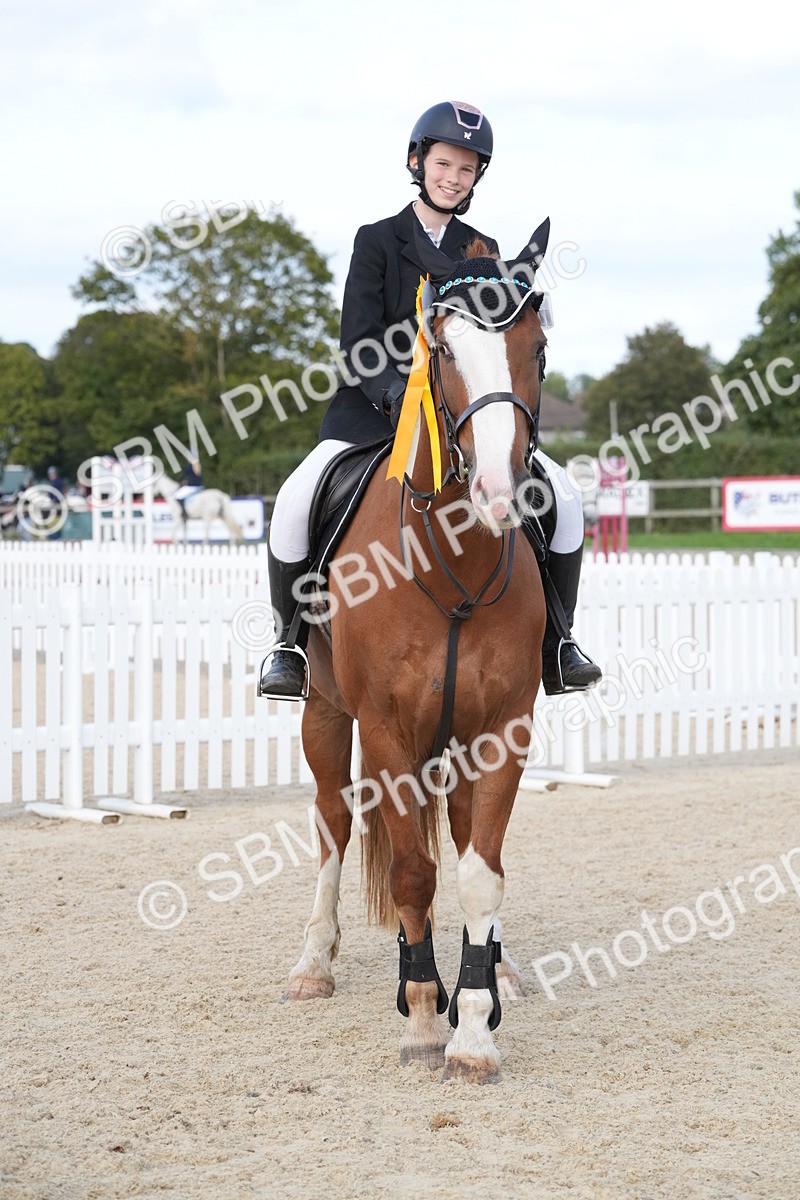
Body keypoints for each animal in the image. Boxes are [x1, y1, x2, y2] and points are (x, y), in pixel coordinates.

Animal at [282, 227, 552, 1084]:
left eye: (538, 347)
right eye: (444, 348)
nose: (503, 492)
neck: (451, 560)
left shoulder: (501, 729)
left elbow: (477, 873)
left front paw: (474, 1028)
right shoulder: (385, 729)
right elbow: (410, 873)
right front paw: (426, 1015)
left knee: (463, 840)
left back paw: (498, 966)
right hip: (326, 717)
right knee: (334, 824)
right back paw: (313, 966)